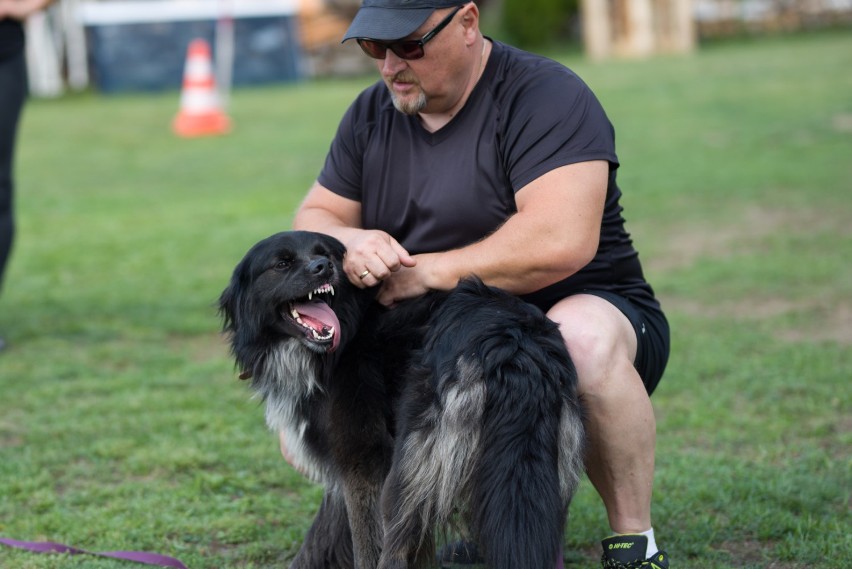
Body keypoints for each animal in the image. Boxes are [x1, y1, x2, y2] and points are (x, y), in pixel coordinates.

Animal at [218, 231, 584, 568]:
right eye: (282, 263)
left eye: (327, 256)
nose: (322, 268)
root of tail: (511, 341)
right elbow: (324, 534)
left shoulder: (362, 460)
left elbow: (363, 543)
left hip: (406, 477)